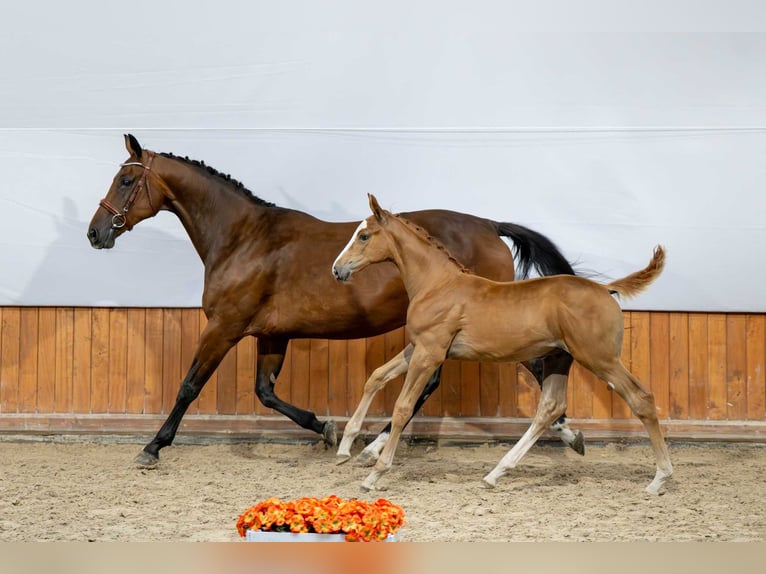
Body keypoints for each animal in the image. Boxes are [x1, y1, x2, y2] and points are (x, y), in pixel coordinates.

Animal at [88, 134, 584, 468]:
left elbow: (190, 385)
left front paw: (152, 446)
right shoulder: (272, 334)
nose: (95, 232)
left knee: (516, 370)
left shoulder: (224, 326)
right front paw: (325, 429)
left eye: (126, 179)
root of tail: (488, 225)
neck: (244, 239)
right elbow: (266, 392)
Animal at [332, 194, 673, 495]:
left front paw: (375, 474)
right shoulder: (419, 348)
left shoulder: (429, 353)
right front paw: (345, 448)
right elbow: (375, 376)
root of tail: (605, 289)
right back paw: (495, 474)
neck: (438, 284)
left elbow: (402, 407)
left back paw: (660, 479)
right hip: (559, 358)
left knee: (641, 399)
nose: (337, 269)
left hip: (599, 358)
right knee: (550, 407)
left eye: (364, 235)